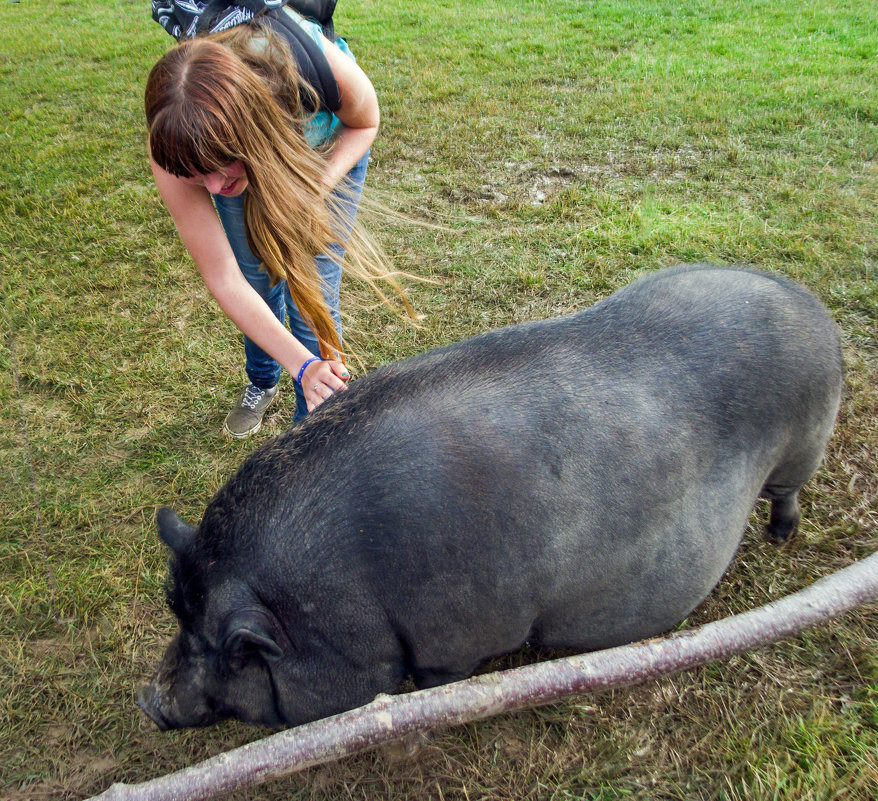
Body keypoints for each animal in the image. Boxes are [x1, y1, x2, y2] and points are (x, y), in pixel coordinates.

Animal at [138, 266, 844, 728]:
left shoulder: (455, 639)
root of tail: (809, 303)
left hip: (804, 445)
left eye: (231, 652)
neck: (342, 598)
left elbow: (438, 678)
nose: (149, 699)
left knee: (788, 494)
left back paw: (781, 536)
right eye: (177, 615)